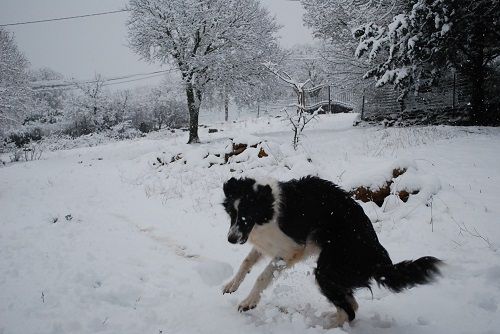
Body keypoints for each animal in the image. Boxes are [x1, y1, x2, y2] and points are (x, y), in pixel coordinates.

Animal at [223, 176, 442, 328]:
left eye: (247, 215)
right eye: (233, 214)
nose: (231, 239)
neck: (269, 206)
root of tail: (377, 259)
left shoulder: (290, 250)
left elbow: (262, 276)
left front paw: (249, 301)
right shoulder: (268, 245)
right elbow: (246, 262)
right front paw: (232, 284)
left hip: (326, 271)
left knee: (350, 310)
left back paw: (326, 327)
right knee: (352, 305)